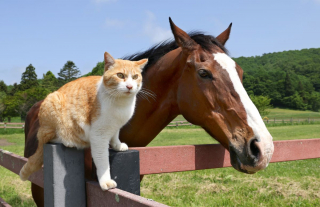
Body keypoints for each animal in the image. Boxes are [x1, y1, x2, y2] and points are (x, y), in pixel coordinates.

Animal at [20, 52, 148, 191]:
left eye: (135, 77)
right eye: (120, 75)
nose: (130, 86)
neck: (121, 104)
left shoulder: (115, 125)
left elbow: (115, 135)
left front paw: (117, 145)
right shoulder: (99, 135)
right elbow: (102, 160)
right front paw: (106, 180)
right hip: (53, 102)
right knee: (50, 138)